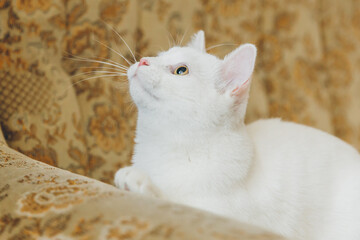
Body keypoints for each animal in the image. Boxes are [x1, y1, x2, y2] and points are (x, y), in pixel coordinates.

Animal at [114, 31, 360, 239]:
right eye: (159, 55)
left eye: (181, 70)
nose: (143, 60)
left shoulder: (223, 215)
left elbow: (178, 203)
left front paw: (142, 183)